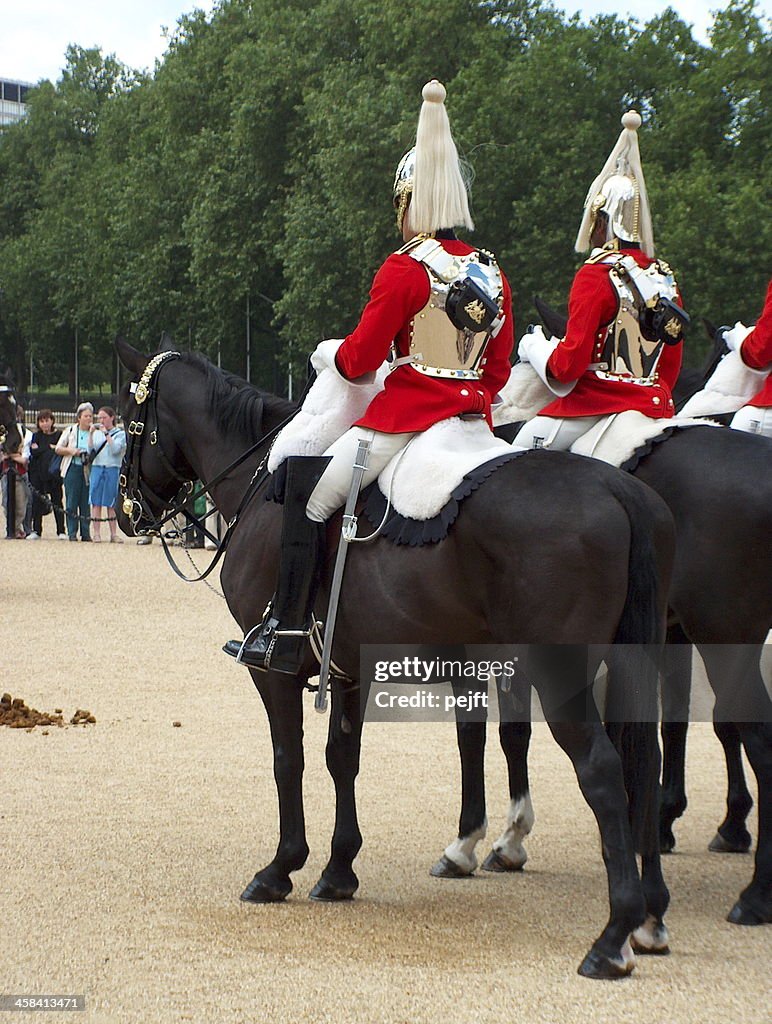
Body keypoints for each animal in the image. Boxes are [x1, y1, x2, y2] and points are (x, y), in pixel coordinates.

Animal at [115, 339, 671, 978]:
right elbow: (342, 759)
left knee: (602, 770)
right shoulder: (348, 667)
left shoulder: (272, 672)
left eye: (131, 423)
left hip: (561, 678)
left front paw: (281, 867)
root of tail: (619, 489)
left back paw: (613, 935)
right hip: (628, 665)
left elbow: (288, 760)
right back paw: (651, 917)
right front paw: (338, 870)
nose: (127, 512)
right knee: (646, 762)